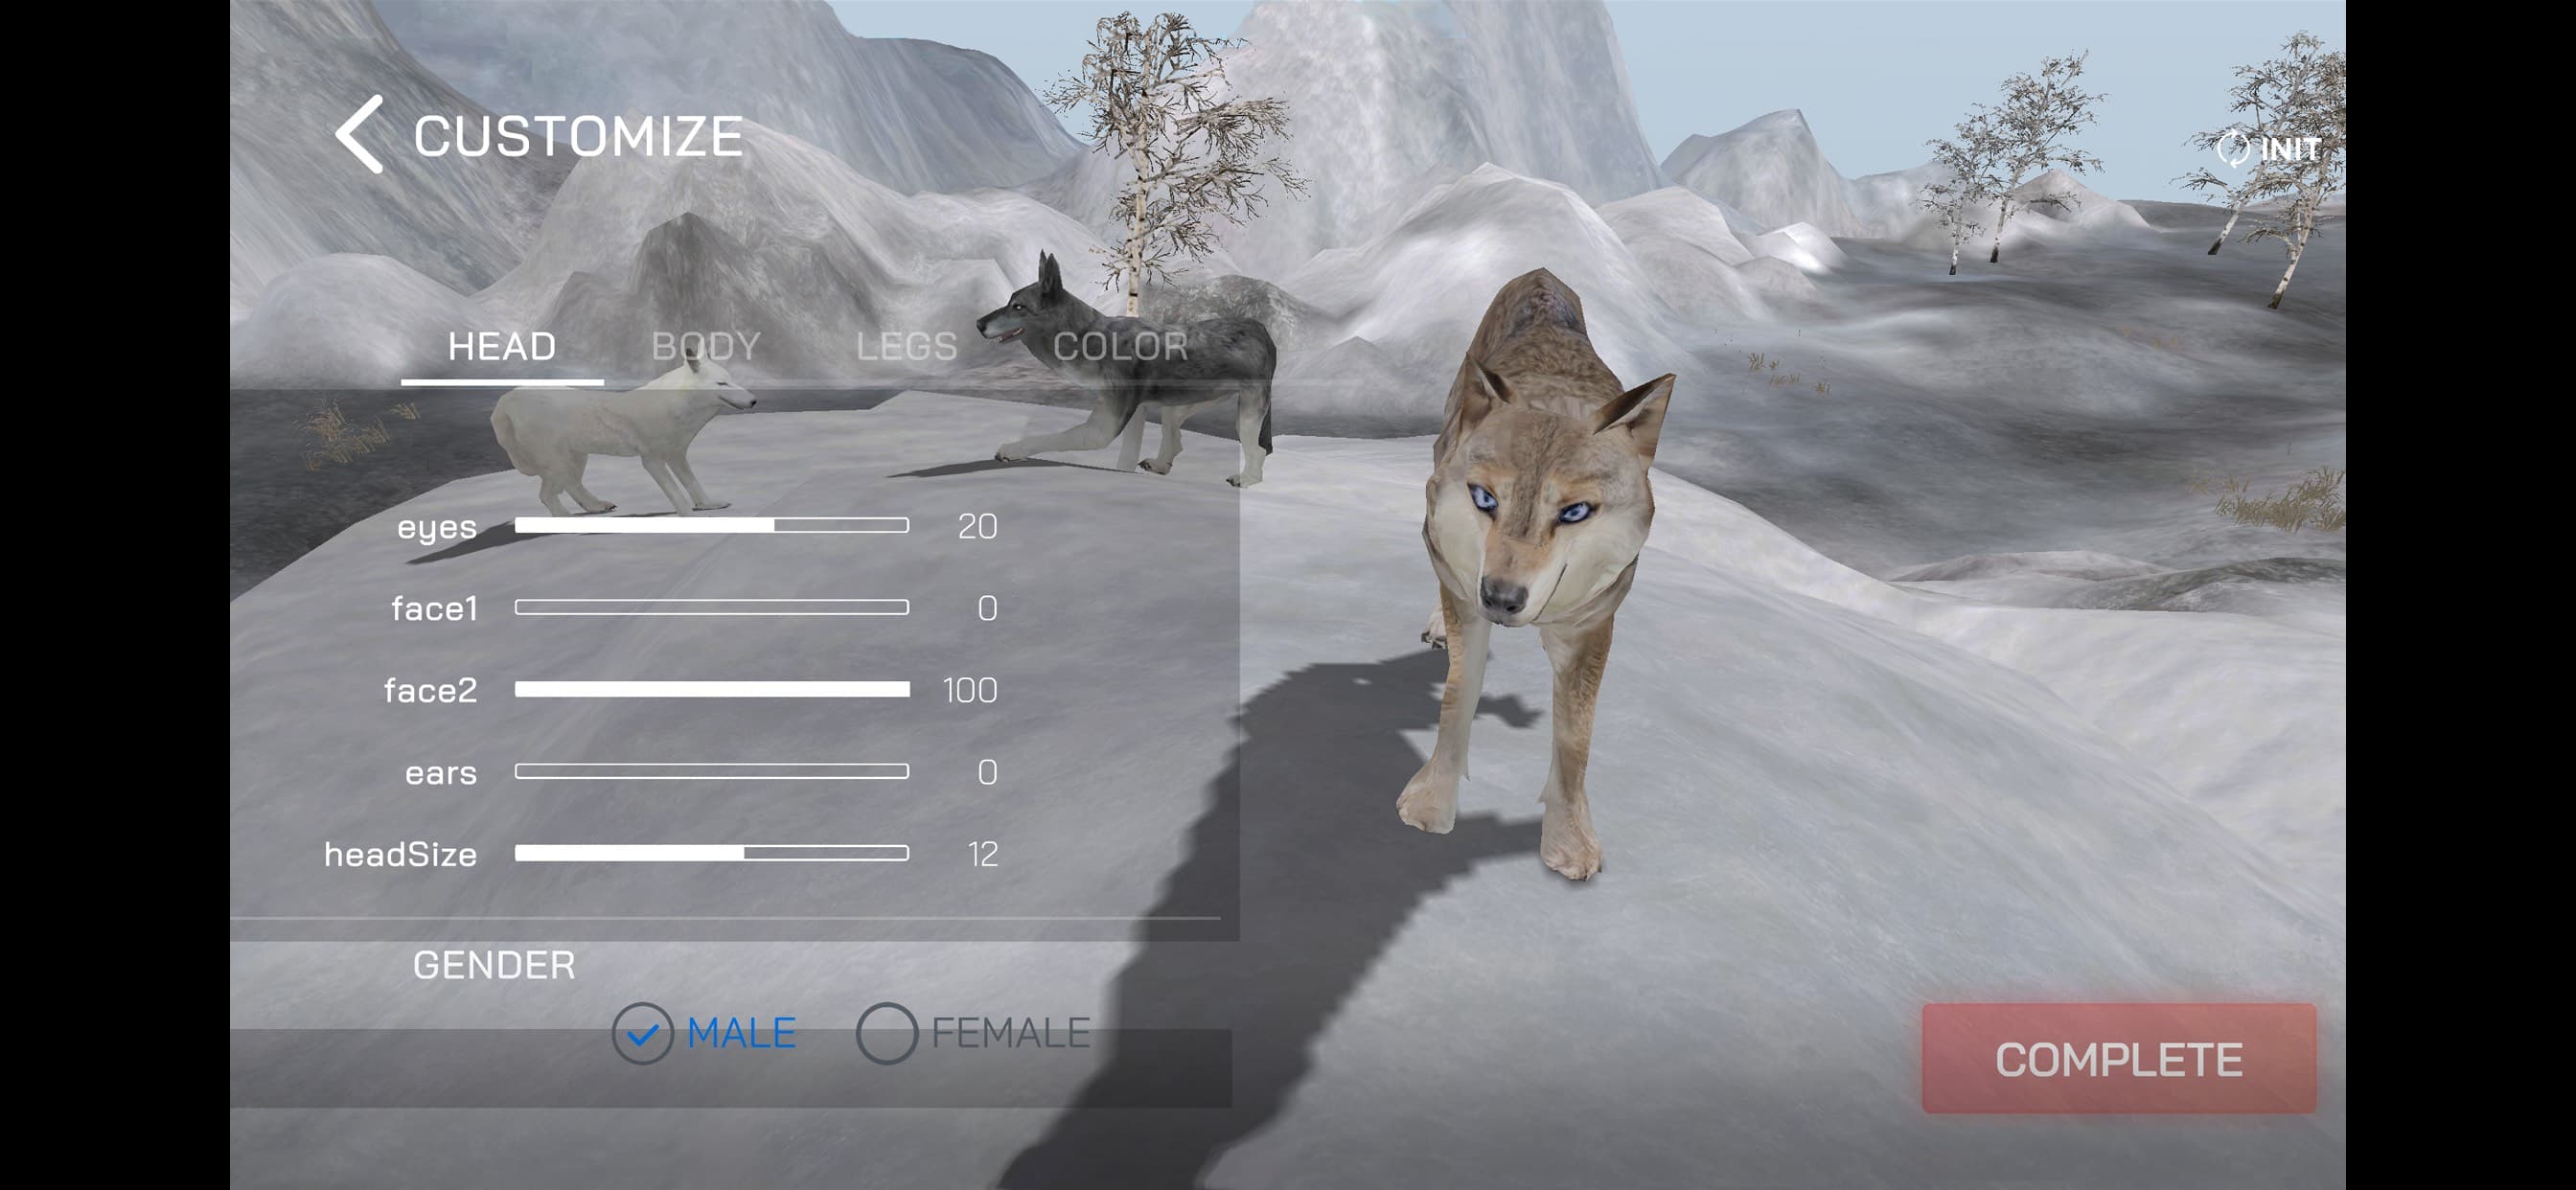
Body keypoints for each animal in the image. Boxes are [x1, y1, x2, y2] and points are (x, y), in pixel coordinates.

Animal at [489, 345, 757, 516]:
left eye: (732, 379)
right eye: (722, 383)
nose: (754, 400)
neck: (676, 404)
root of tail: (507, 398)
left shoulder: (677, 455)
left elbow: (693, 485)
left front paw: (708, 505)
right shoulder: (652, 461)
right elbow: (676, 494)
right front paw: (689, 517)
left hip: (575, 460)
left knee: (572, 486)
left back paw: (596, 507)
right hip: (558, 463)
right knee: (546, 495)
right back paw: (565, 520)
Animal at [975, 252, 1277, 487]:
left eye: (1018, 307)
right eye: (1008, 302)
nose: (978, 323)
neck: (1087, 337)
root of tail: (1261, 329)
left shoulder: (1105, 426)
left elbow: (1050, 438)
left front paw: (1013, 449)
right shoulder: (1136, 411)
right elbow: (1127, 457)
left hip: (1245, 416)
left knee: (1258, 450)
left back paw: (1246, 479)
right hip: (1177, 405)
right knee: (1176, 438)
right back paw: (1160, 465)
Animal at [1397, 269, 1676, 881]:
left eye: (1575, 512)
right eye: (1484, 499)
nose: (1501, 598)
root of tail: (1542, 275)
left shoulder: (1591, 627)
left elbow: (1575, 738)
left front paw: (1569, 843)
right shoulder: (1468, 601)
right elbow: (1458, 697)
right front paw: (1430, 806)